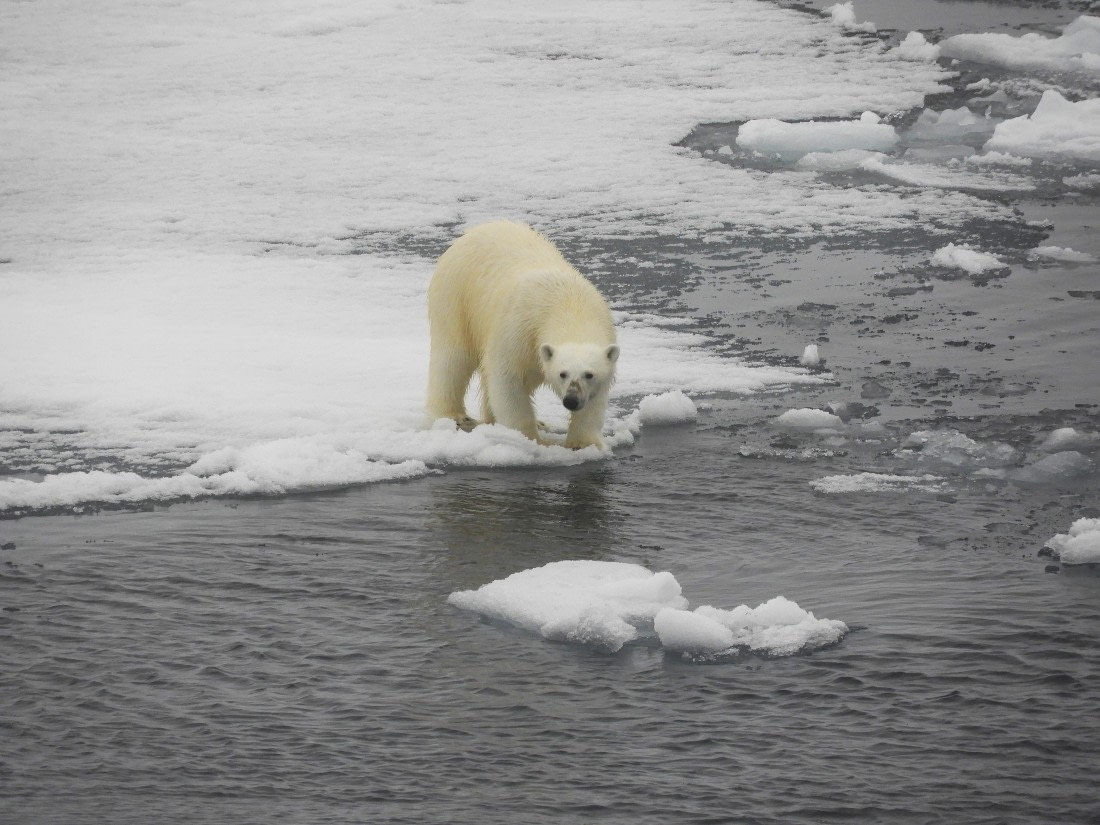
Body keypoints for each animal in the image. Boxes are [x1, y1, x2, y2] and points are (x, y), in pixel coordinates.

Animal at [426, 220, 619, 450]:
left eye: (589, 374)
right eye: (562, 373)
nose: (571, 400)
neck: (570, 305)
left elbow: (595, 400)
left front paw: (582, 443)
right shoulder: (520, 329)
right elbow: (507, 379)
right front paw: (529, 438)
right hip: (456, 297)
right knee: (454, 358)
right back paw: (454, 416)